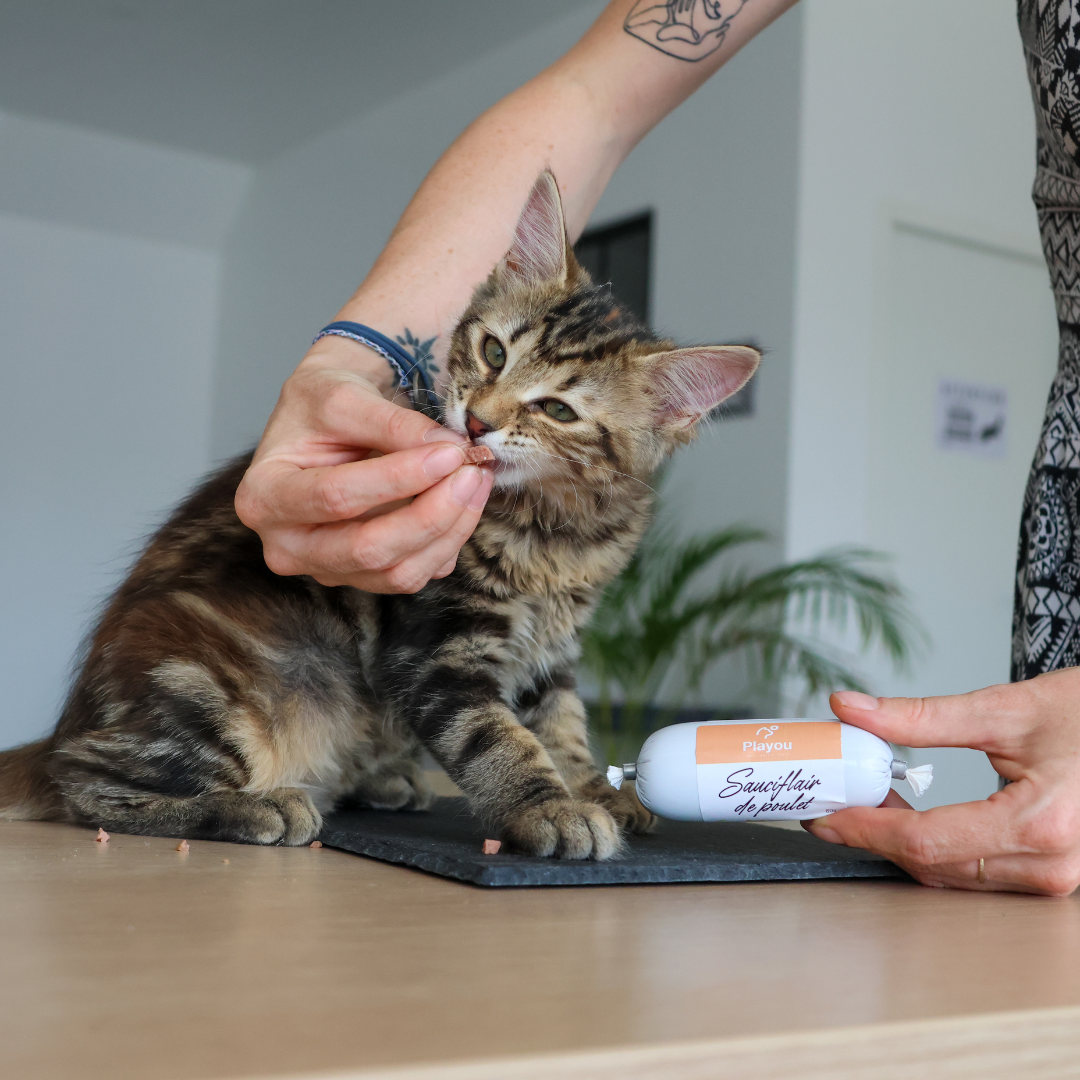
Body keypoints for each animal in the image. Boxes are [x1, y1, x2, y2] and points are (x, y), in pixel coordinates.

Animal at [0, 172, 758, 859]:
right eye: (493, 351)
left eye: (558, 410)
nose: (477, 422)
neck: (554, 530)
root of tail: (71, 722)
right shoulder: (435, 647)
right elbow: (497, 736)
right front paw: (550, 808)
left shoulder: (551, 652)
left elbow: (564, 728)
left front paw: (595, 789)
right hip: (215, 685)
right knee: (86, 785)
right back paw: (257, 806)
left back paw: (379, 782)